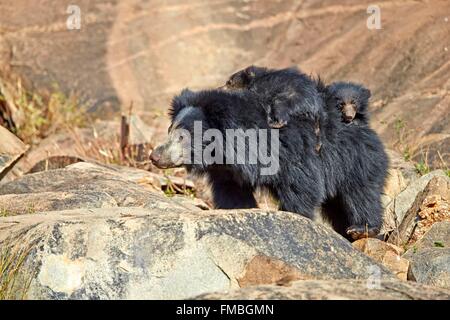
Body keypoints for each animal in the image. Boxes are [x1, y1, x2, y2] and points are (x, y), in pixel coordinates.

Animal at [149, 70, 388, 240]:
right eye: (170, 130)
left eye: (183, 136)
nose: (155, 156)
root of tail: (363, 124)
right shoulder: (227, 170)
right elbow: (232, 192)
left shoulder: (290, 152)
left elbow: (301, 185)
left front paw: (295, 216)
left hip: (355, 160)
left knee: (361, 193)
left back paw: (361, 229)